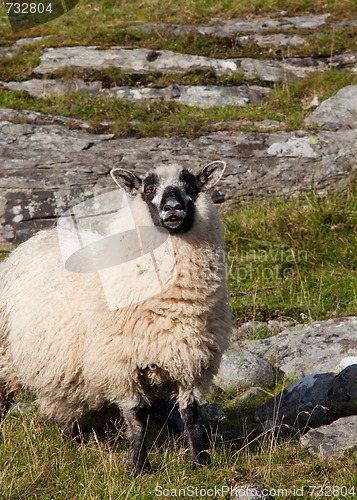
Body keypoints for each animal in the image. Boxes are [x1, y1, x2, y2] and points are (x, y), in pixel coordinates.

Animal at [0, 160, 231, 472]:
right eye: (148, 191)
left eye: (193, 188)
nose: (172, 208)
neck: (174, 304)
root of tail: (40, 235)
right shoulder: (120, 364)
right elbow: (138, 417)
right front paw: (139, 466)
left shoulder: (193, 363)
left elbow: (191, 414)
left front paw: (201, 462)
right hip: (5, 355)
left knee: (65, 405)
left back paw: (75, 442)